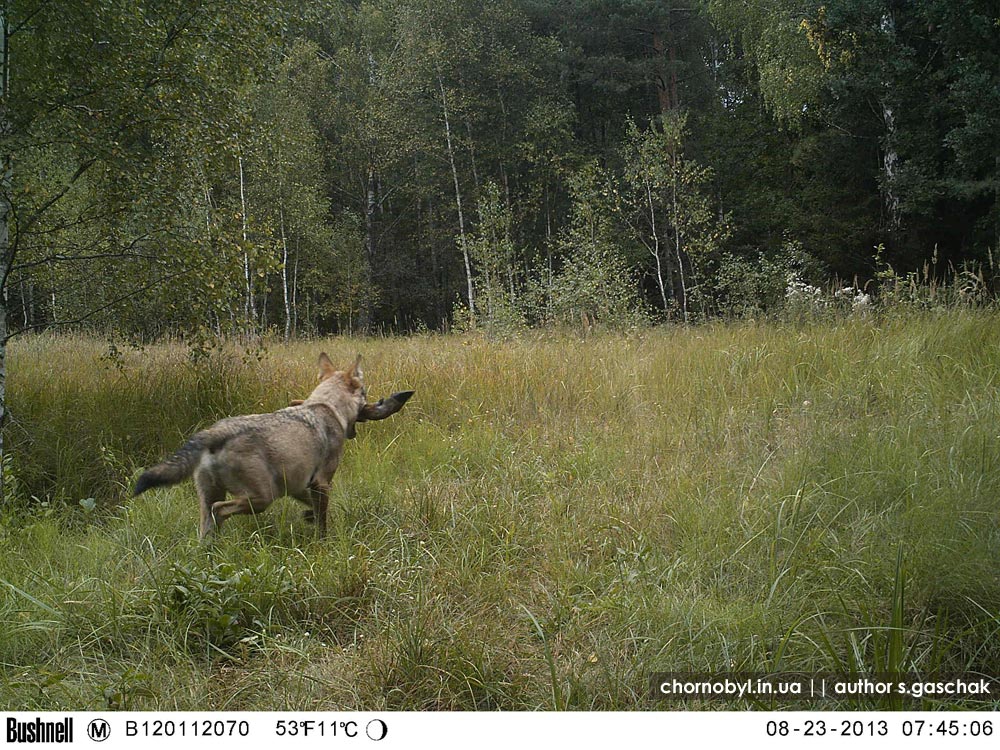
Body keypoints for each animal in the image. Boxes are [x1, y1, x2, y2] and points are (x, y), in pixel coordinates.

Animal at [134, 354, 414, 540]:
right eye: (365, 393)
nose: (379, 403)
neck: (326, 406)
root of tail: (215, 431)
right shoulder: (322, 483)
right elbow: (323, 521)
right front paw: (323, 542)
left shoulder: (299, 484)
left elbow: (314, 509)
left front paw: (308, 517)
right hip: (261, 498)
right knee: (219, 511)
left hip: (214, 498)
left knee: (207, 527)